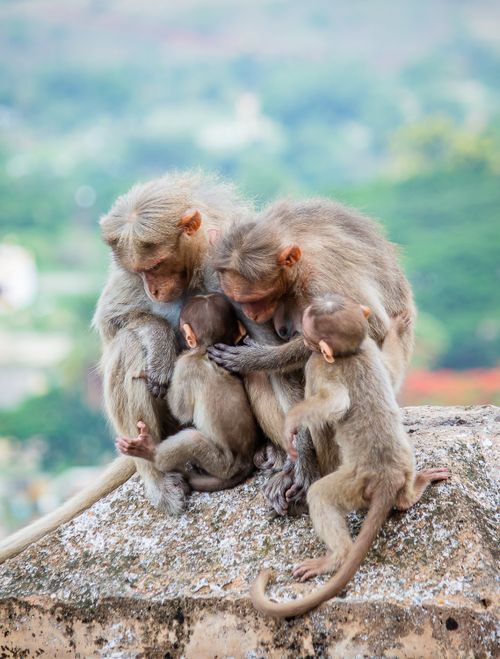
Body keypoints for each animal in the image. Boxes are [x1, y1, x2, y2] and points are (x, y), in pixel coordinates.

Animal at [115, 293, 257, 500]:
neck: (205, 349)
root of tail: (246, 459)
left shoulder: (185, 364)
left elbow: (181, 411)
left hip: (222, 463)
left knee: (192, 440)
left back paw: (150, 451)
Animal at [208, 198, 416, 512]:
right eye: (242, 301)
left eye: (258, 298)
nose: (252, 314)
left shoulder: (322, 275)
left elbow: (369, 325)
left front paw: (257, 358)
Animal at [250, 294, 450, 618]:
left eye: (308, 330)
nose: (296, 333)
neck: (350, 354)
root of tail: (387, 479)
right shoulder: (368, 350)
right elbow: (388, 369)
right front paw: (396, 327)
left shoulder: (317, 365)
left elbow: (334, 403)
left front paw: (293, 426)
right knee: (403, 497)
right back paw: (415, 490)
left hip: (354, 485)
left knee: (320, 494)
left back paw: (336, 556)